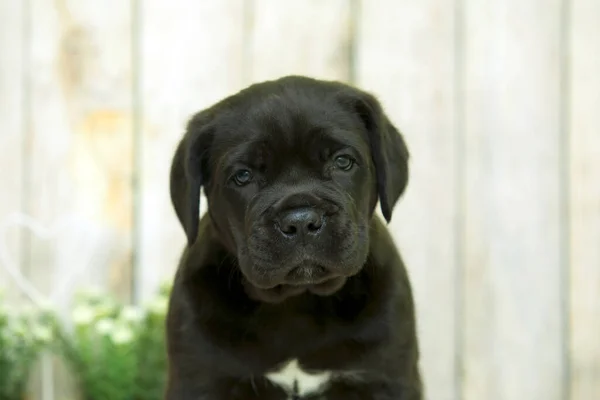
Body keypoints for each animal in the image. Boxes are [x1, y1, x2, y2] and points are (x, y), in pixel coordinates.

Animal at [166, 76, 424, 398]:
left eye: (342, 161)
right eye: (243, 176)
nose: (301, 221)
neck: (297, 301)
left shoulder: (385, 377)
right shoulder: (202, 378)